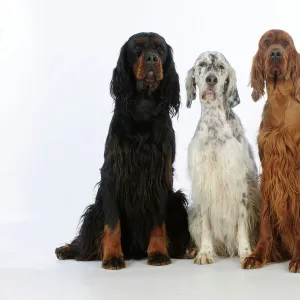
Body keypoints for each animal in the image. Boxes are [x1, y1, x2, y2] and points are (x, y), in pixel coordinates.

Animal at [186, 51, 258, 264]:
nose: (211, 79)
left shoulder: (239, 184)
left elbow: (241, 224)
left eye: (221, 67)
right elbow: (206, 226)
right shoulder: (204, 182)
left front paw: (246, 252)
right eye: (202, 65)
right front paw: (204, 252)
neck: (214, 126)